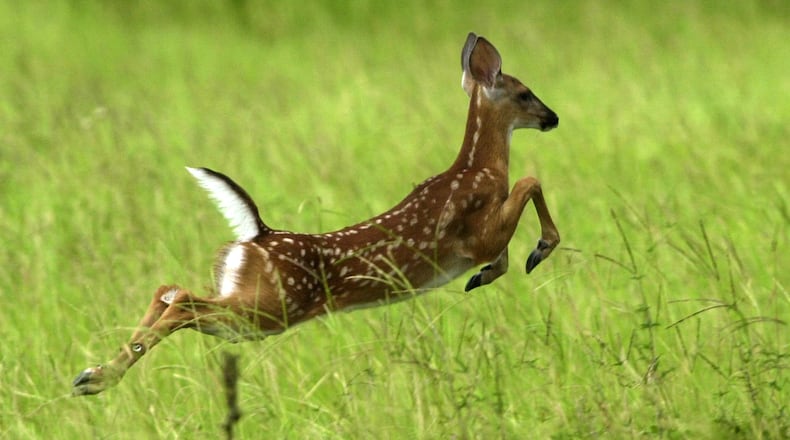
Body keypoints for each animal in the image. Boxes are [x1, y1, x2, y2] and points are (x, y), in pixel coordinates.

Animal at [72, 33, 560, 396]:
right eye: (524, 92)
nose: (552, 117)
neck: (479, 168)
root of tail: (258, 233)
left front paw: (490, 273)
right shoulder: (475, 234)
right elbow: (529, 182)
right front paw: (537, 250)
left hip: (248, 308)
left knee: (168, 289)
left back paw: (92, 374)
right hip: (270, 309)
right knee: (183, 301)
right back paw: (97, 378)